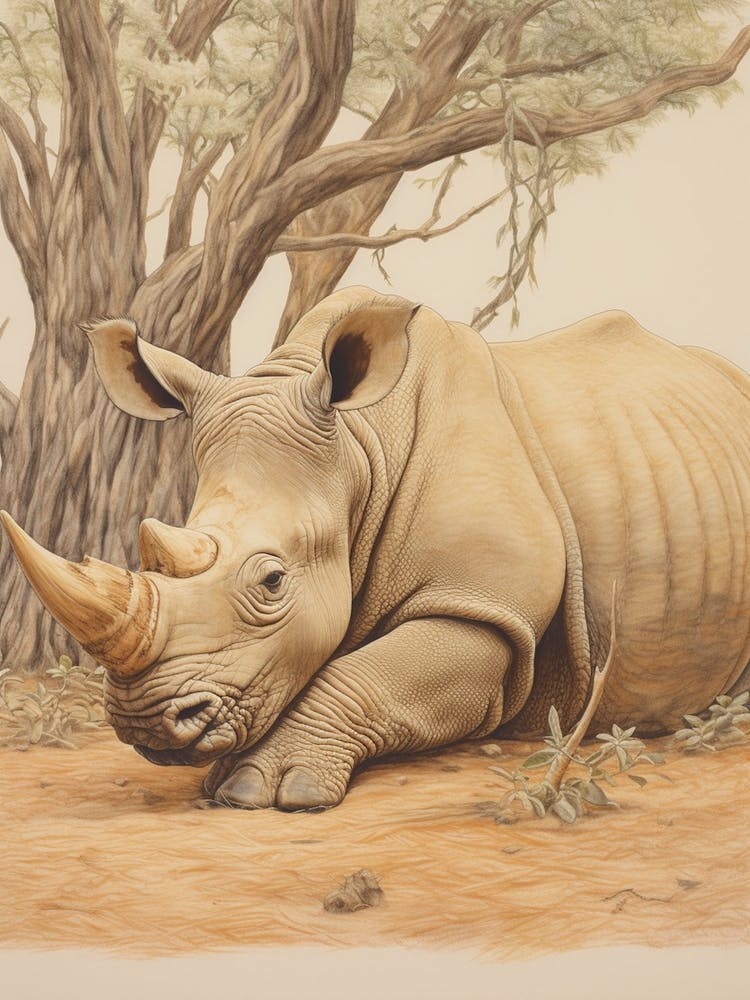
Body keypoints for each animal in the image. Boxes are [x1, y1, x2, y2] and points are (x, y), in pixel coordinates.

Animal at [3, 286, 750, 810]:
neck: (359, 453)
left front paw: (260, 789)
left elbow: (372, 675)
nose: (147, 721)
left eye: (272, 582)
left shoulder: (483, 602)